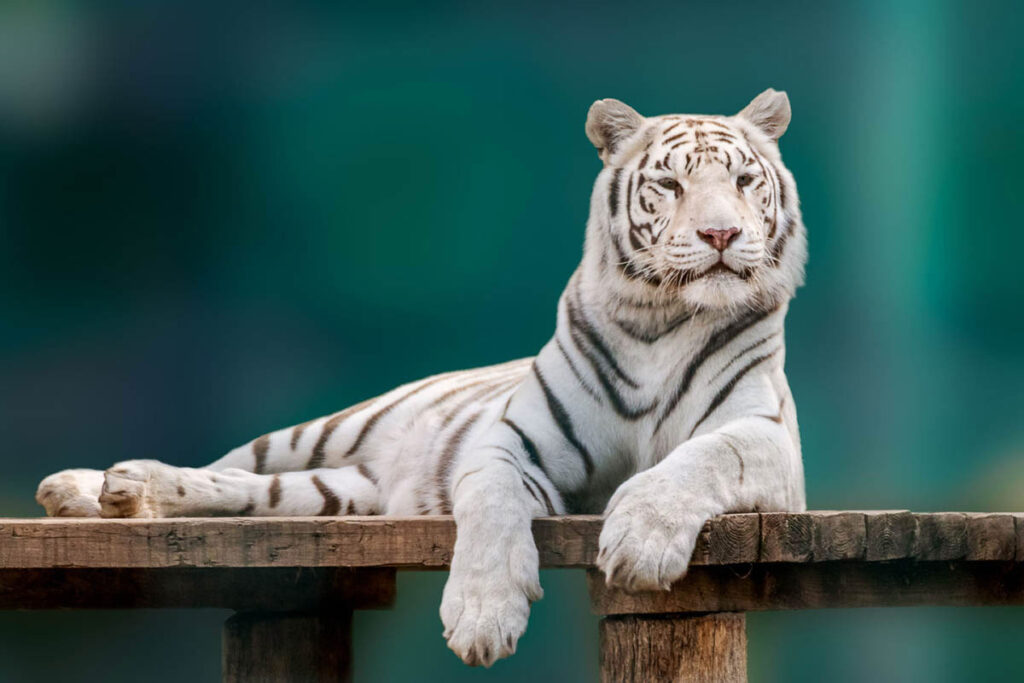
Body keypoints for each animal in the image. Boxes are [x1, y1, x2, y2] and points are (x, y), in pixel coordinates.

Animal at [36, 88, 807, 667]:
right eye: (671, 185)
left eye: (744, 182)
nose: (720, 236)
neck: (661, 321)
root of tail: (378, 478)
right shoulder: (509, 444)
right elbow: (492, 506)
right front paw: (482, 616)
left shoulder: (765, 439)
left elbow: (698, 459)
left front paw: (642, 541)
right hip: (320, 434)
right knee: (222, 464)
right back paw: (91, 487)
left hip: (332, 494)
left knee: (241, 492)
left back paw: (121, 494)